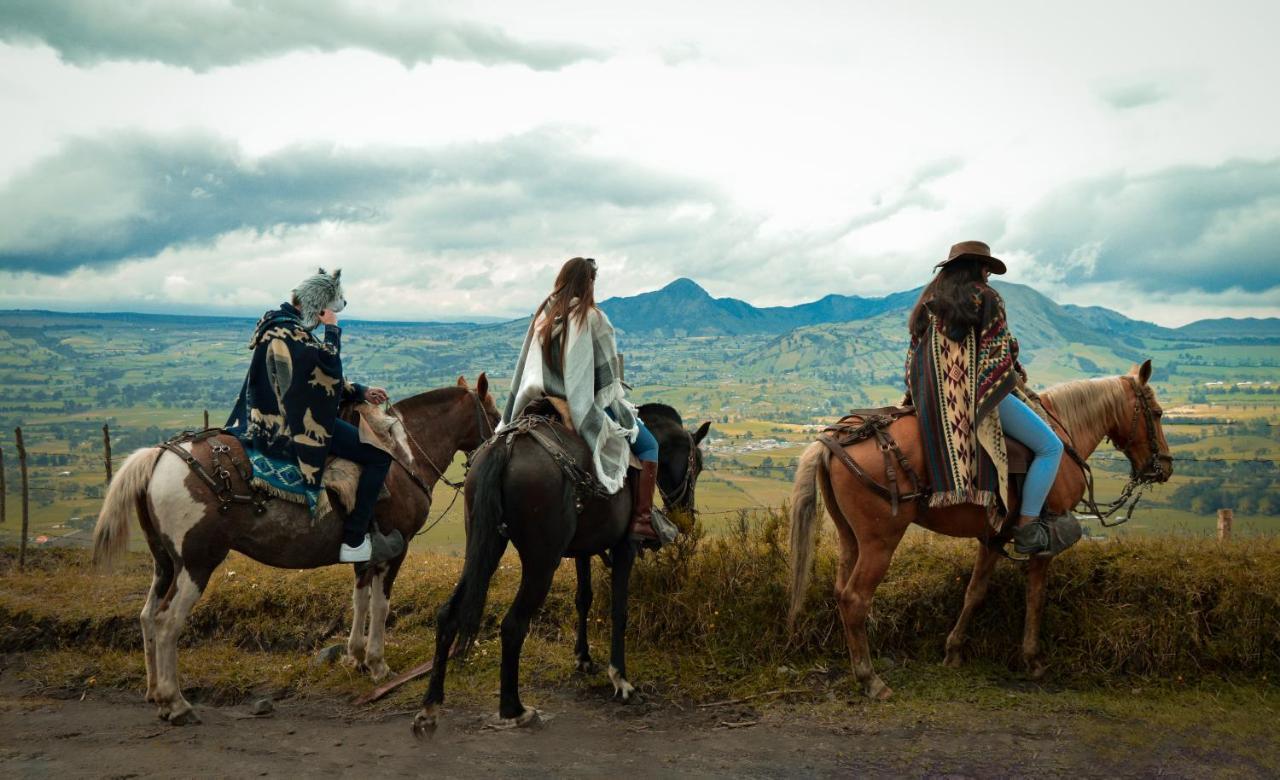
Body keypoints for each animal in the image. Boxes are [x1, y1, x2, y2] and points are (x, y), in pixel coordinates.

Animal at [88, 373, 499, 722]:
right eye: (493, 414)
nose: (494, 446)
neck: (402, 455)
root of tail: (161, 455)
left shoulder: (366, 552)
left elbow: (360, 599)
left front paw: (354, 657)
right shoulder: (395, 550)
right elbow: (381, 606)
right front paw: (377, 664)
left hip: (165, 562)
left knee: (146, 615)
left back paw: (155, 693)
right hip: (196, 563)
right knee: (166, 622)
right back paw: (176, 703)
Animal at [412, 404, 711, 732]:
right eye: (698, 466)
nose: (686, 517)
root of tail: (506, 447)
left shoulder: (584, 548)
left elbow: (584, 598)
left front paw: (583, 657)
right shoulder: (624, 548)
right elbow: (619, 610)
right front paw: (620, 679)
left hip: (483, 546)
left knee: (449, 614)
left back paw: (431, 704)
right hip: (541, 561)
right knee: (513, 624)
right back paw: (514, 708)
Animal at [788, 361, 1172, 696]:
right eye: (1156, 413)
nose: (1164, 466)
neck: (1064, 436)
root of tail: (837, 439)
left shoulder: (993, 537)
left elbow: (975, 592)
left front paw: (953, 651)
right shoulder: (1044, 540)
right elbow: (1036, 597)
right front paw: (1033, 660)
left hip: (849, 537)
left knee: (841, 591)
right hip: (880, 542)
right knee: (856, 598)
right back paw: (871, 679)